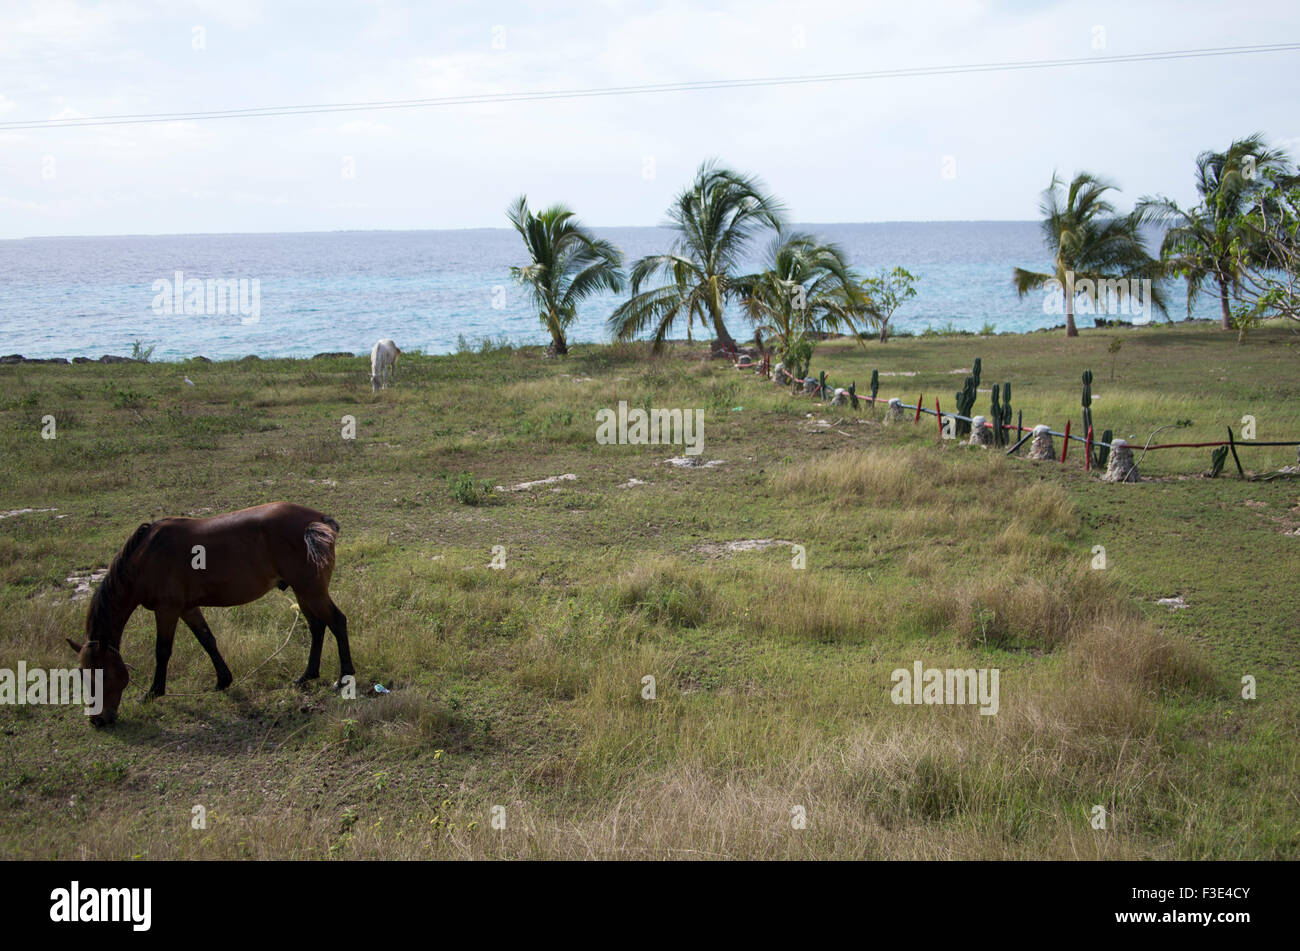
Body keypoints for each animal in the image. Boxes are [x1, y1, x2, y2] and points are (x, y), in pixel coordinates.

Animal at [65, 501, 351, 722]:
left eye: (99, 674)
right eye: (81, 674)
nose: (98, 721)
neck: (147, 556)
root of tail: (318, 520)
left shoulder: (167, 610)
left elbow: (163, 650)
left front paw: (153, 692)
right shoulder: (187, 608)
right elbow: (207, 640)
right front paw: (223, 680)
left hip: (311, 590)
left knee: (337, 622)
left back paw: (343, 679)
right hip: (302, 591)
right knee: (317, 626)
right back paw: (307, 675)